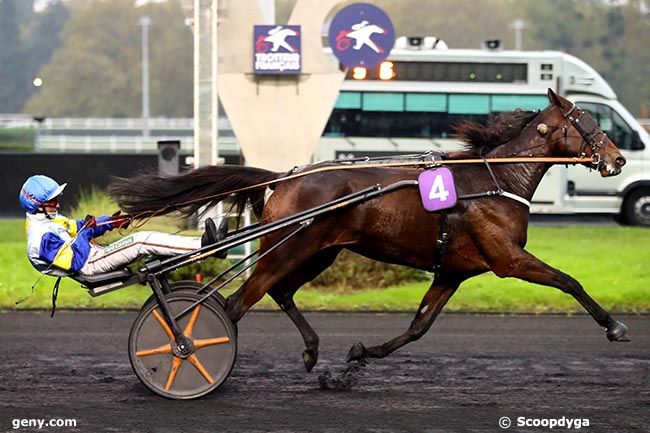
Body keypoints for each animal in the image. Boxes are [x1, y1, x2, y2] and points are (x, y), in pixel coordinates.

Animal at [110, 88, 628, 372]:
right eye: (587, 121)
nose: (619, 158)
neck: (493, 180)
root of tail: (284, 178)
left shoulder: (453, 271)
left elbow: (418, 327)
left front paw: (362, 352)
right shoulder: (507, 258)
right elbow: (568, 281)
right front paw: (614, 326)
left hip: (318, 251)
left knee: (279, 293)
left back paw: (311, 351)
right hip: (289, 247)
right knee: (236, 304)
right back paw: (189, 352)